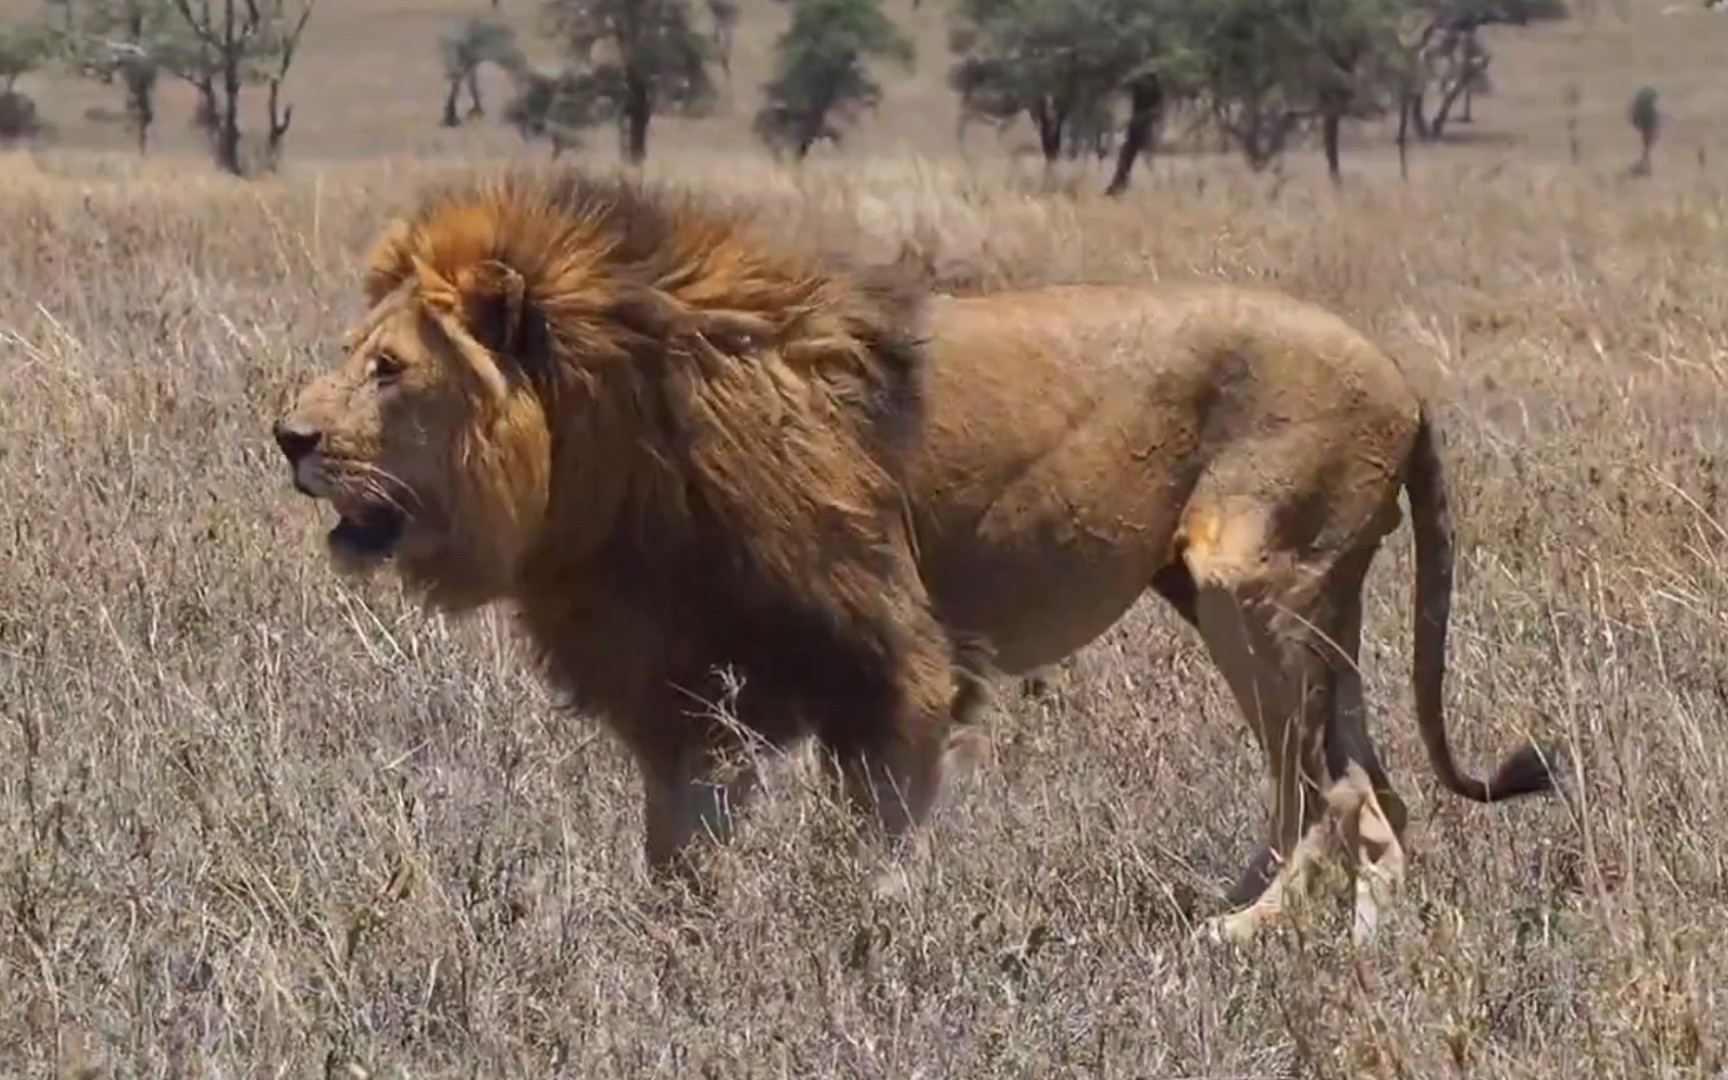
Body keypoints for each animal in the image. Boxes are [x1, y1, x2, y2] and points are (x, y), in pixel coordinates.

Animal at [276, 168, 1562, 940]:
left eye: (388, 369)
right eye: (354, 353)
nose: (286, 437)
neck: (607, 457)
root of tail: (1409, 386)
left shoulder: (887, 660)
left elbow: (874, 843)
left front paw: (868, 946)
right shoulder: (686, 684)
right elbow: (678, 853)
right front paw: (678, 959)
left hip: (1257, 582)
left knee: (1339, 790)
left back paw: (1235, 938)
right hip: (1278, 601)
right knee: (1363, 786)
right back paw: (1308, 933)